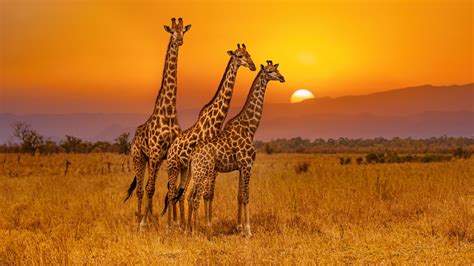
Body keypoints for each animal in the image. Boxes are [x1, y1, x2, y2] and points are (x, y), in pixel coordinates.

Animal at [124, 17, 191, 230]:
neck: (169, 111)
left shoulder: (169, 154)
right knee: (141, 188)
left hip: (152, 160)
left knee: (147, 186)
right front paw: (144, 222)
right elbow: (151, 188)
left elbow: (172, 188)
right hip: (139, 157)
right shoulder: (154, 154)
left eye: (183, 31)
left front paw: (175, 222)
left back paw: (152, 218)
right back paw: (141, 218)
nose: (179, 41)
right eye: (172, 31)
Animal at [161, 43, 256, 227]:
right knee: (172, 193)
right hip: (173, 166)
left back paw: (180, 223)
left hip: (184, 169)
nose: (253, 66)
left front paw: (206, 222)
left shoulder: (214, 167)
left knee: (179, 194)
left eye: (249, 54)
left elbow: (209, 194)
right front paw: (204, 224)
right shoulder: (208, 165)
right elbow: (204, 194)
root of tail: (171, 147)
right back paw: (172, 225)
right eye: (240, 56)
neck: (215, 121)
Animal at [176, 61, 284, 236]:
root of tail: (192, 155)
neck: (250, 127)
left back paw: (188, 230)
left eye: (277, 69)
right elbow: (246, 196)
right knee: (194, 197)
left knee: (188, 196)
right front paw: (248, 230)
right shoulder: (247, 164)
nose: (282, 77)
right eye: (269, 71)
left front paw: (239, 228)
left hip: (195, 173)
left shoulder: (240, 167)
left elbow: (239, 196)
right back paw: (196, 231)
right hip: (202, 173)